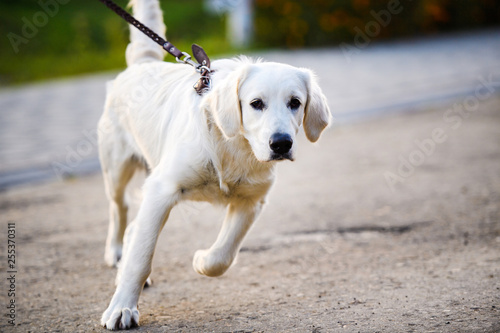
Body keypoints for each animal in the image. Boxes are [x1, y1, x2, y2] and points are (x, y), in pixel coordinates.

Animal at [99, 0, 330, 326]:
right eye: (256, 103)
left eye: (295, 103)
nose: (281, 144)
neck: (233, 145)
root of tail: (141, 64)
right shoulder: (162, 189)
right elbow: (140, 259)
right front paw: (122, 308)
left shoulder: (252, 201)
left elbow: (223, 256)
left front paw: (201, 260)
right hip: (117, 167)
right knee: (119, 209)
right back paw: (116, 253)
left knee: (133, 224)